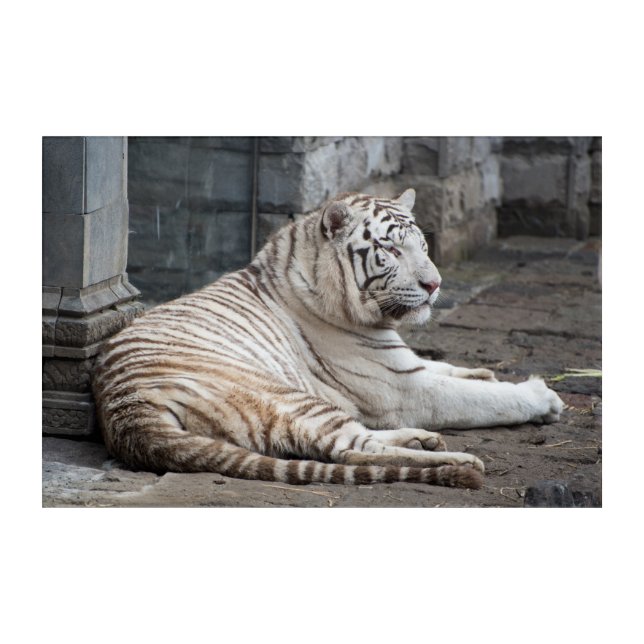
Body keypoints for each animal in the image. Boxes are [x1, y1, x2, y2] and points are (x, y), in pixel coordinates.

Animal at [93, 188, 564, 490]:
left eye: (424, 246)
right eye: (392, 251)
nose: (434, 285)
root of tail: (128, 413)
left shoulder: (403, 362)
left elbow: (447, 367)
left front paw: (484, 373)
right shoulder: (401, 388)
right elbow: (481, 399)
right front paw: (540, 396)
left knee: (355, 447)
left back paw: (423, 440)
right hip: (290, 398)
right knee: (350, 451)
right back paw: (457, 459)